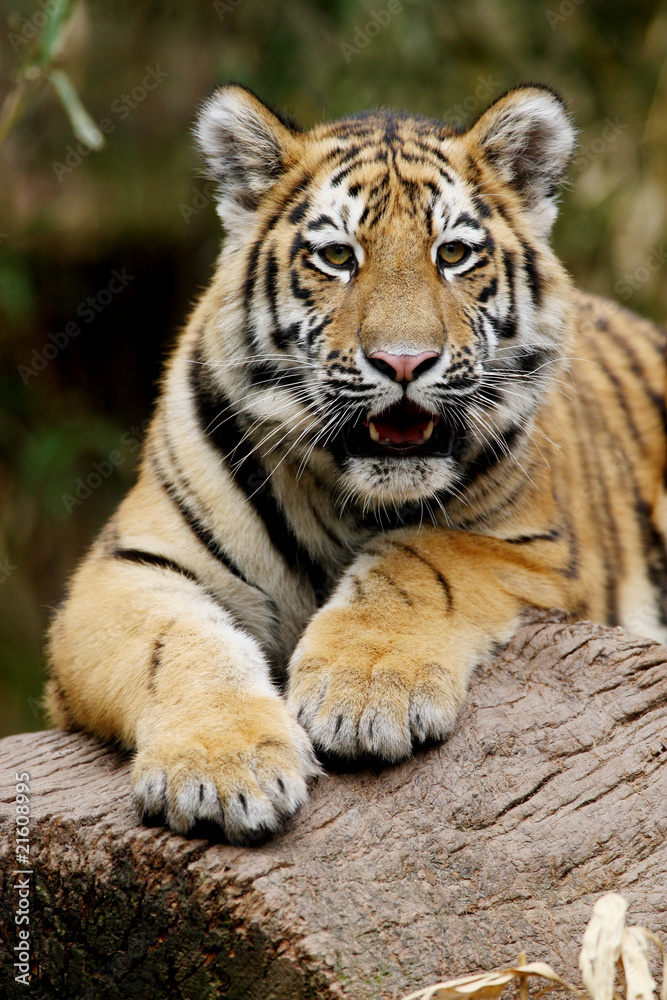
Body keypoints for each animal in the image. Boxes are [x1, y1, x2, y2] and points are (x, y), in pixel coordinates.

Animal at [46, 83, 667, 843]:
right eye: (338, 257)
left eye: (453, 253)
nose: (403, 362)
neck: (347, 496)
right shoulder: (122, 571)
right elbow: (182, 644)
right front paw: (224, 768)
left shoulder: (535, 545)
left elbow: (419, 559)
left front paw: (366, 693)